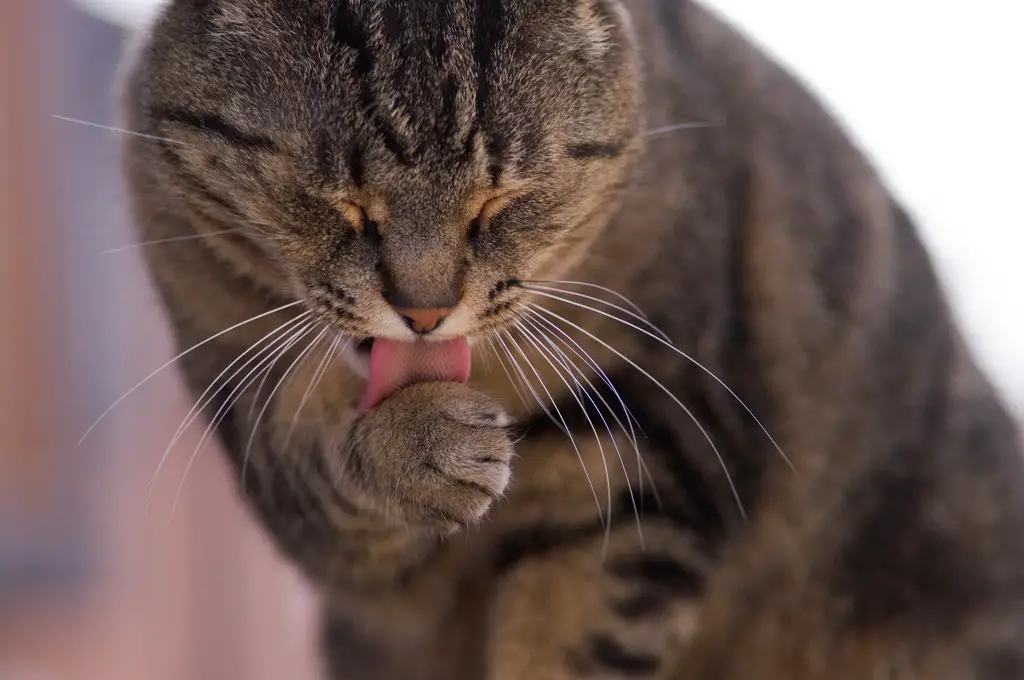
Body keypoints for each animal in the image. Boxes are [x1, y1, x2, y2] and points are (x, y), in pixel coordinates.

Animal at [116, 1, 1024, 680]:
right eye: (343, 204)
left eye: (500, 201)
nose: (423, 312)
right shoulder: (256, 423)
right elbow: (323, 470)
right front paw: (417, 445)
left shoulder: (648, 455)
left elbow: (578, 639)